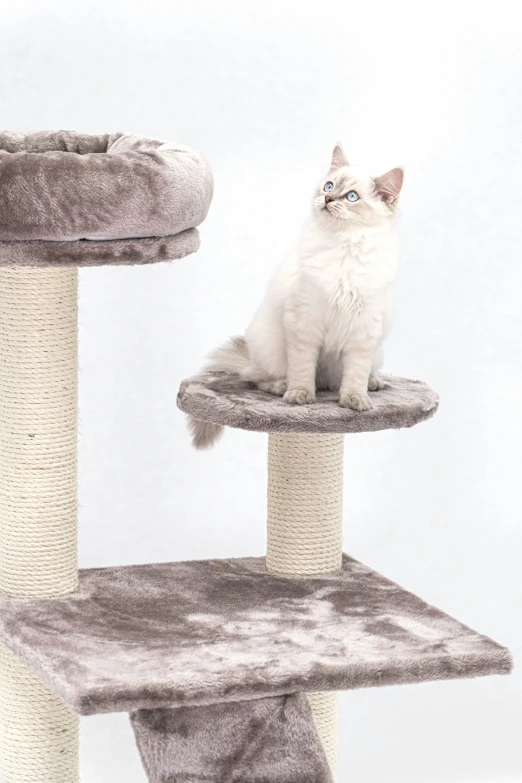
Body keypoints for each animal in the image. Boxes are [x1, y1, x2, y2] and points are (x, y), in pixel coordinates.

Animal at [188, 142, 402, 448]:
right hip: (271, 347)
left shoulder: (363, 333)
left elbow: (355, 376)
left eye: (352, 197)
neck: (344, 246)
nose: (328, 199)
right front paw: (299, 397)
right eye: (328, 186)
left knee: (349, 377)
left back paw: (373, 383)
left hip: (375, 351)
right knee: (256, 377)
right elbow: (302, 370)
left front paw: (355, 402)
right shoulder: (305, 324)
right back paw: (282, 388)